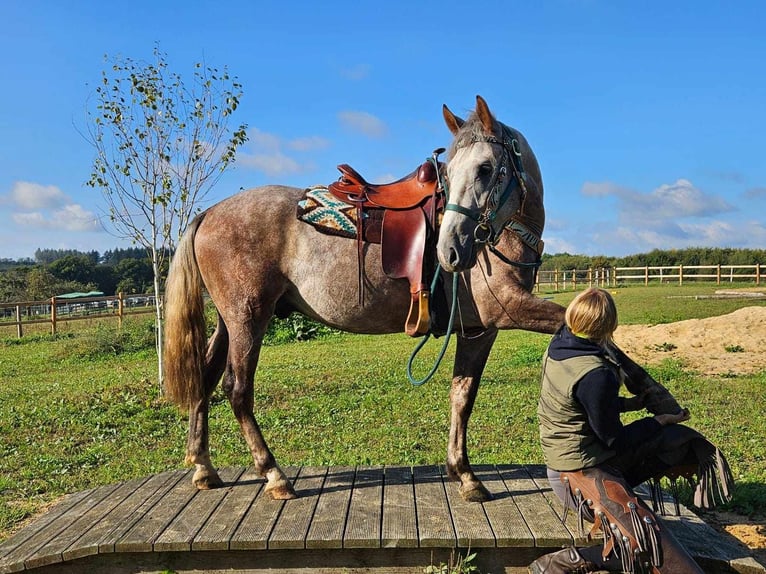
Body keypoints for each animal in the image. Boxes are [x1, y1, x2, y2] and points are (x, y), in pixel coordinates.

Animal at [162, 95, 680, 504]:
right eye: (451, 173)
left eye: (486, 169)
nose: (449, 251)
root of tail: (210, 212)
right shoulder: (511, 310)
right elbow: (600, 337)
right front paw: (657, 394)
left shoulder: (479, 329)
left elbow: (462, 395)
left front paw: (463, 474)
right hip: (250, 317)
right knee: (237, 389)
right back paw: (273, 475)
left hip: (229, 319)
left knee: (206, 376)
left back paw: (203, 467)